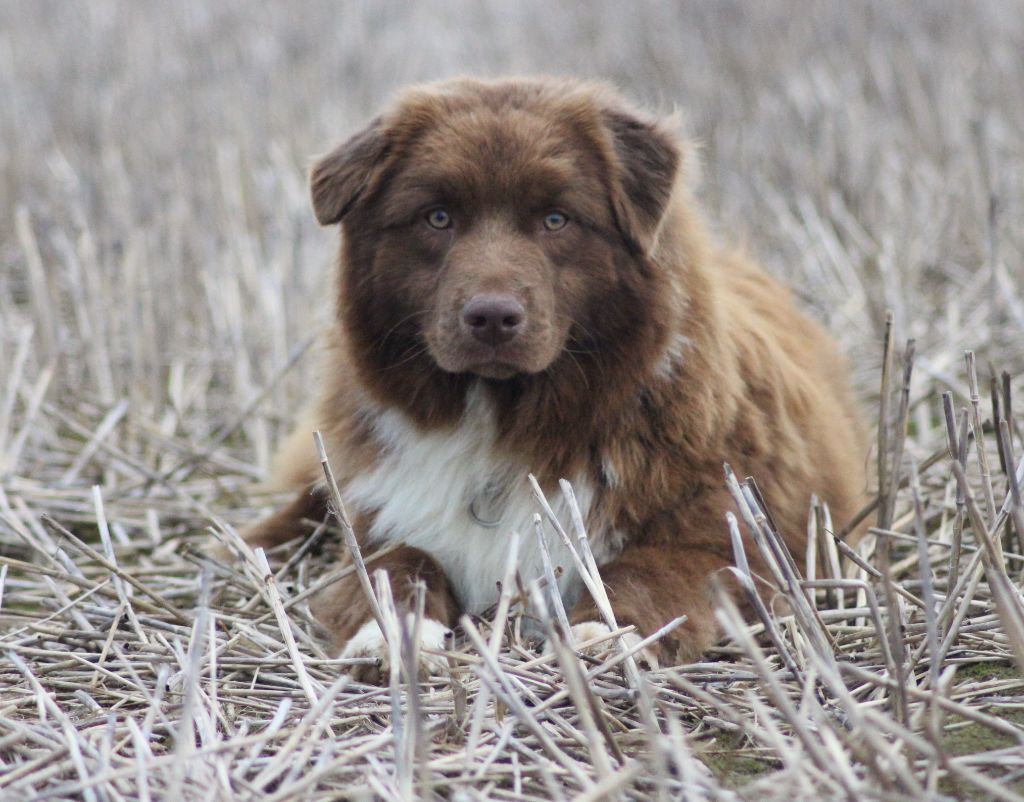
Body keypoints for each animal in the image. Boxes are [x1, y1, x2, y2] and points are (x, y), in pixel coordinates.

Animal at [239, 76, 864, 676]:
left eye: (556, 220)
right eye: (437, 217)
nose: (492, 316)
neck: (501, 423)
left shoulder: (728, 538)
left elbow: (645, 572)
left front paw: (606, 636)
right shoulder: (382, 518)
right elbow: (398, 566)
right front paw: (393, 637)